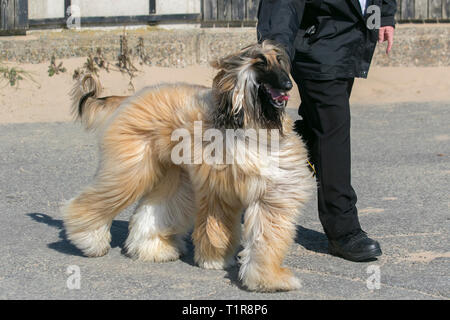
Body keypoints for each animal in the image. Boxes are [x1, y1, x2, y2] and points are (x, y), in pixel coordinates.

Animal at [64, 40, 312, 292]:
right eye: (260, 63)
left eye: (280, 61)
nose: (288, 85)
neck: (251, 123)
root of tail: (131, 97)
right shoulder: (217, 190)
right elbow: (215, 227)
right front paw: (216, 260)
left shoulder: (271, 192)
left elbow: (267, 235)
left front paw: (268, 278)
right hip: (132, 169)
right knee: (94, 201)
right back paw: (89, 241)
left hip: (173, 174)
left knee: (157, 207)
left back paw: (153, 249)